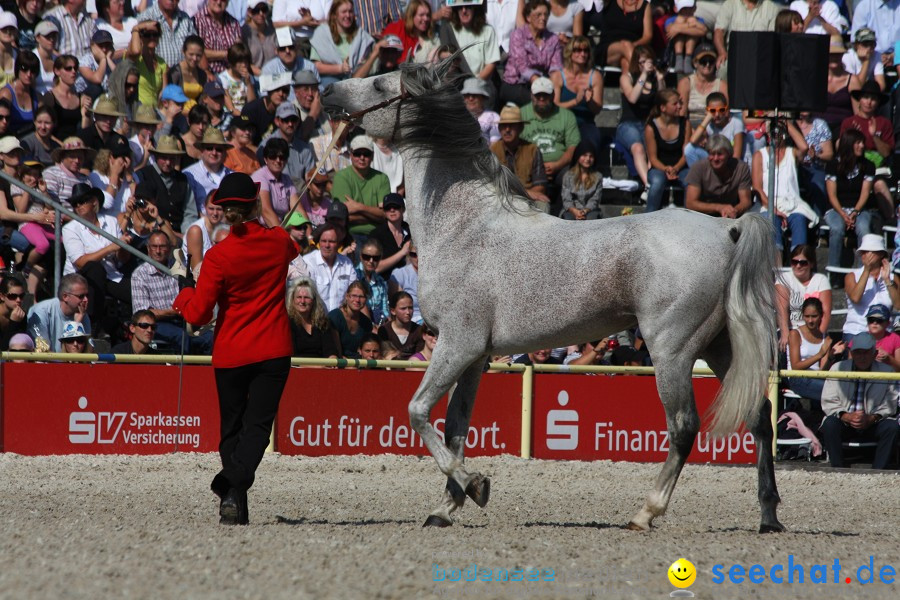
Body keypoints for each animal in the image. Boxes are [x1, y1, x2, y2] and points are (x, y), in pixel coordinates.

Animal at [322, 58, 780, 532]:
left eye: (380, 84)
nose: (328, 93)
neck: (465, 228)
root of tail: (728, 228)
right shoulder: (474, 356)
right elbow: (455, 430)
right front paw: (445, 508)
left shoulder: (457, 344)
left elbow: (417, 412)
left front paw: (475, 486)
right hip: (721, 345)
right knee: (759, 418)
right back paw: (768, 516)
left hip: (672, 350)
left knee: (685, 426)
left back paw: (646, 512)